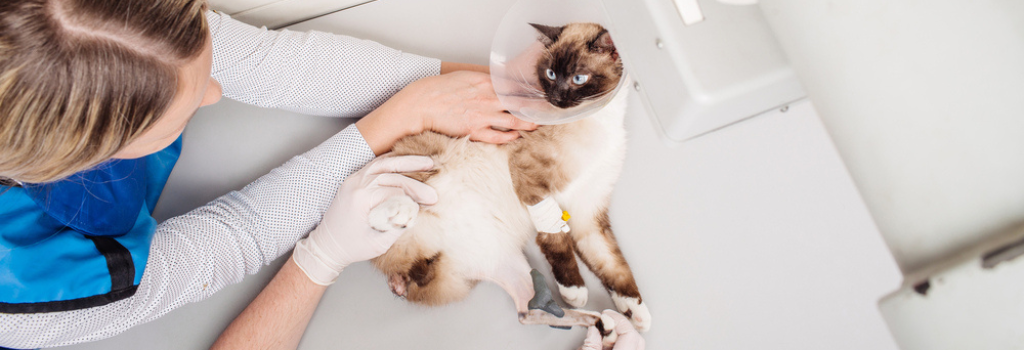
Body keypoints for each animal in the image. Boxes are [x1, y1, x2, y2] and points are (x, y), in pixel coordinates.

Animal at [368, 22, 651, 333]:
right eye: (551, 74)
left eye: (579, 78)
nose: (556, 99)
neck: (601, 121)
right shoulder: (530, 179)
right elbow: (557, 240)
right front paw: (575, 290)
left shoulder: (588, 214)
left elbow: (615, 267)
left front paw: (637, 314)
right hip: (422, 167)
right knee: (378, 217)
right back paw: (398, 211)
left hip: (507, 261)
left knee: (529, 311)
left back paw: (602, 322)